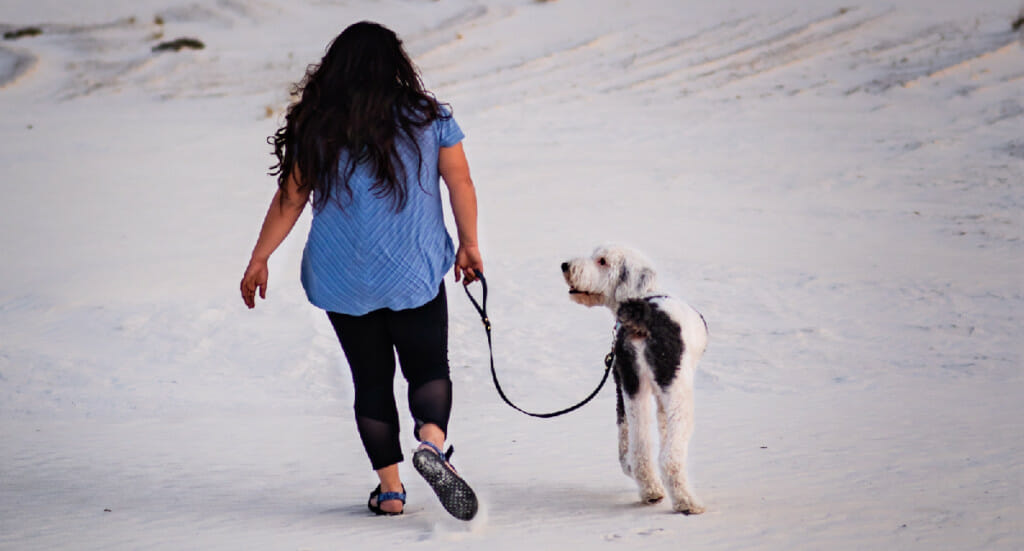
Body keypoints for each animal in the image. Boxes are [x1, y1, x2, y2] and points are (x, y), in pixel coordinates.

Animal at [561, 245, 704, 514]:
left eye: (602, 261)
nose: (565, 266)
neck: (643, 293)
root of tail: (645, 315)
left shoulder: (625, 385)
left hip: (634, 385)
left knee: (640, 450)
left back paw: (651, 491)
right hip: (676, 388)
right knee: (669, 457)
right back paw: (687, 503)